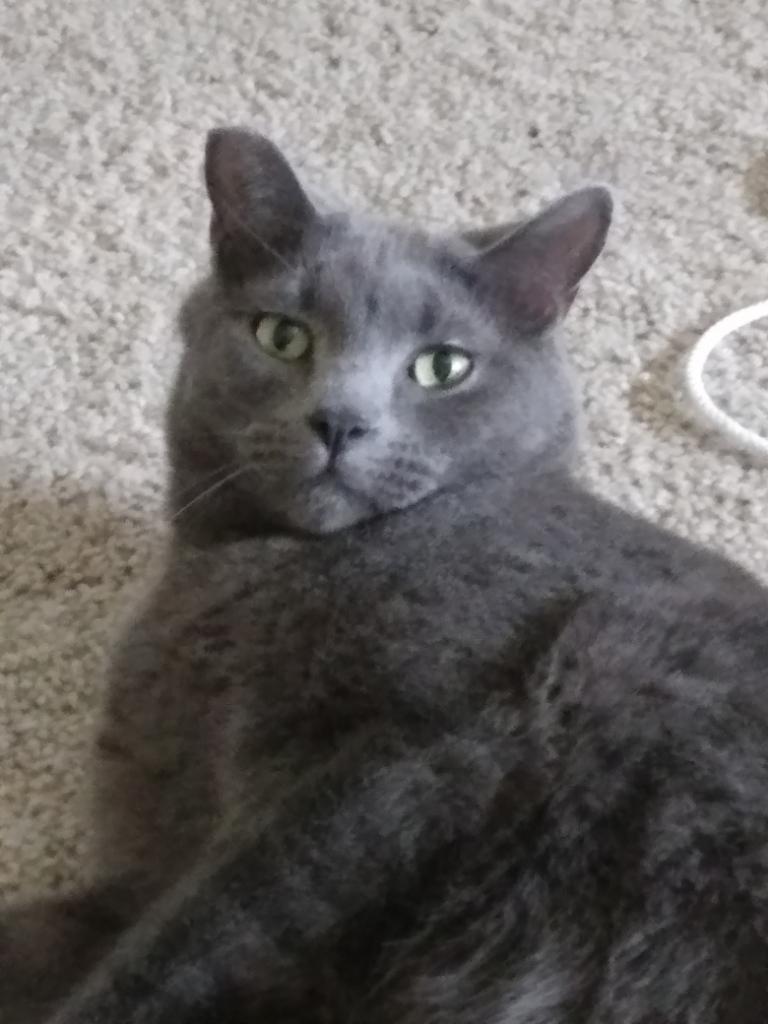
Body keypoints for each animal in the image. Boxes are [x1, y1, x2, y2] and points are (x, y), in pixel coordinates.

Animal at [1, 130, 768, 1024]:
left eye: (443, 367)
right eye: (283, 336)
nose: (339, 421)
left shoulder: (419, 755)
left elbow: (198, 940)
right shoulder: (144, 868)